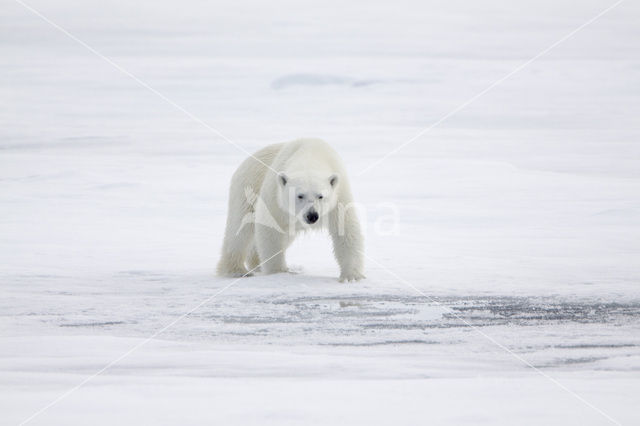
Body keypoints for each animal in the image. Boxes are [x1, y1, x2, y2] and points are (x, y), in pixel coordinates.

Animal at [216, 138, 362, 282]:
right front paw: (278, 272)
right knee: (239, 230)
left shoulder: (338, 197)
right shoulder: (276, 196)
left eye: (320, 196)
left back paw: (256, 263)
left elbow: (346, 230)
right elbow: (270, 228)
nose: (312, 216)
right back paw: (236, 270)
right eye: (300, 195)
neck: (310, 155)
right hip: (248, 187)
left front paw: (351, 277)